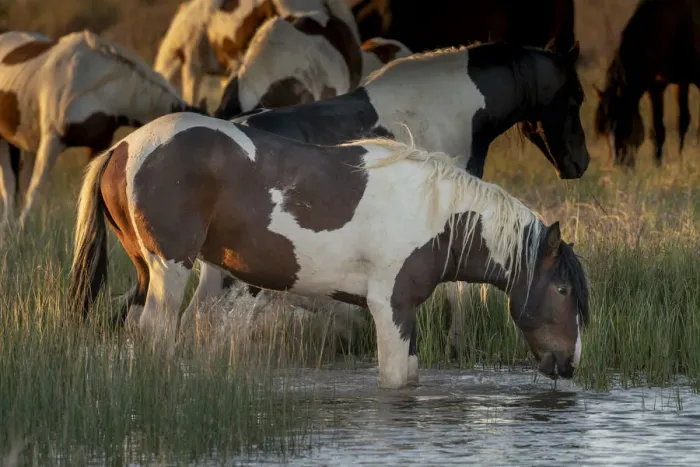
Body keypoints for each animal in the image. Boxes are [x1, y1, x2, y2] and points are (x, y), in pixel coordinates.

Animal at [68, 111, 589, 389]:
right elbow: (395, 381)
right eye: (563, 290)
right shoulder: (389, 308)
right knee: (156, 335)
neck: (434, 213)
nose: (568, 365)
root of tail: (124, 147)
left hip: (147, 271)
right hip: (170, 269)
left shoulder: (404, 314)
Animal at [593, 0, 699, 168]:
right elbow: (658, 129)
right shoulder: (656, 87)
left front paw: (681, 159)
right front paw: (657, 164)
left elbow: (683, 121)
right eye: (603, 130)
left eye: (624, 123)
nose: (617, 164)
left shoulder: (685, 80)